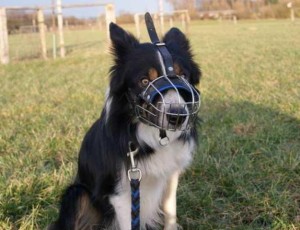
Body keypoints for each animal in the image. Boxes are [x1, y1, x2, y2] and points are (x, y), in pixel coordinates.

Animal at [50, 18, 202, 230]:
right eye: (144, 81)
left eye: (184, 77)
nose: (178, 117)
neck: (150, 134)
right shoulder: (120, 193)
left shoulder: (170, 177)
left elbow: (170, 212)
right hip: (77, 193)